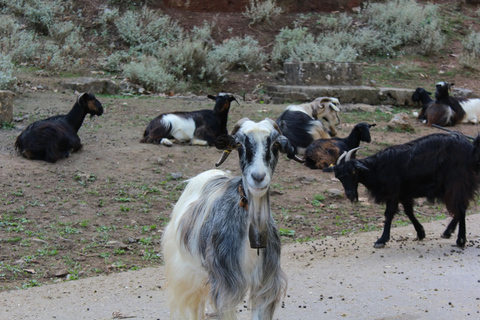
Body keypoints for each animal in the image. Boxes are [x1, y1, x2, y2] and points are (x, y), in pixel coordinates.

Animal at [163, 118, 302, 320]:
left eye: (275, 144)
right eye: (239, 144)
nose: (258, 177)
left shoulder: (265, 286)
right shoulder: (226, 287)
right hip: (186, 269)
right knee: (196, 304)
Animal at [322, 132, 480, 248]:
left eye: (353, 172)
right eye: (338, 177)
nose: (349, 195)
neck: (378, 168)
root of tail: (471, 149)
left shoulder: (393, 191)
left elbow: (389, 213)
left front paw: (381, 240)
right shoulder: (404, 193)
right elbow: (409, 212)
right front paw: (421, 233)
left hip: (456, 182)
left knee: (460, 208)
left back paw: (460, 240)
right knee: (460, 207)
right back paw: (448, 232)